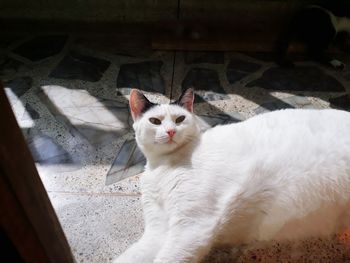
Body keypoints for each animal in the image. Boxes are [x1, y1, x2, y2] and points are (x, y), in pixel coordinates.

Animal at [115, 88, 350, 263]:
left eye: (180, 119)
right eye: (155, 121)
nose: (171, 131)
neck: (162, 167)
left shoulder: (192, 226)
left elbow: (167, 257)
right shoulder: (157, 230)